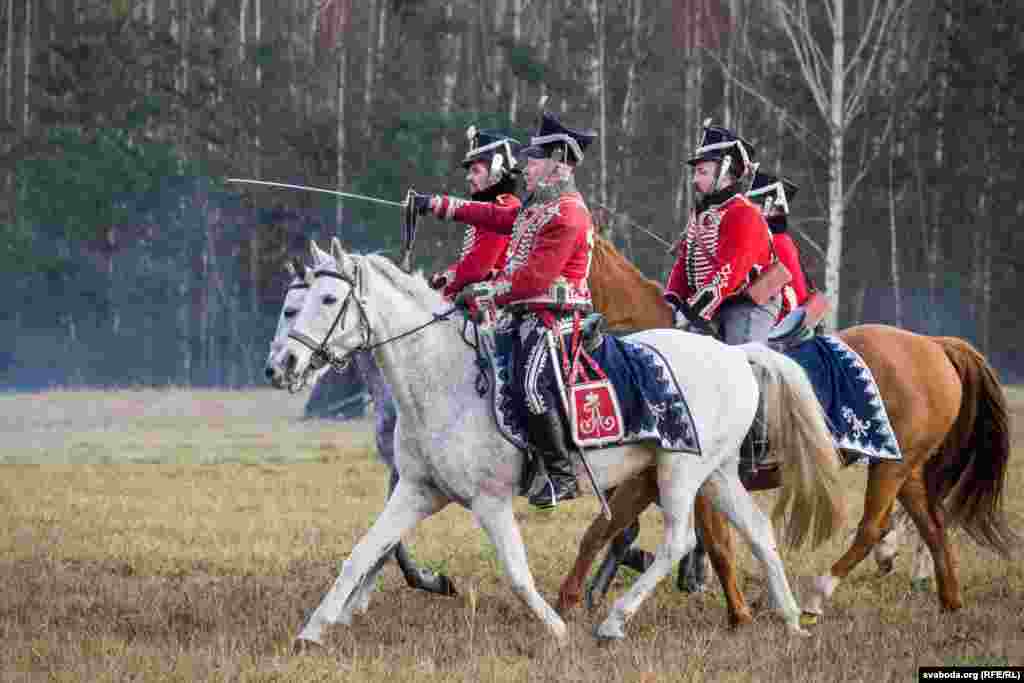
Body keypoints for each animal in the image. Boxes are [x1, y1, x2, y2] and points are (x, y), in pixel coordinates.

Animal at [268, 239, 843, 647]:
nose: (283, 365)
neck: (443, 378)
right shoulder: (417, 491)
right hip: (717, 473)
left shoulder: (490, 501)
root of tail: (734, 353)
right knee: (759, 531)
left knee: (680, 541)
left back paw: (613, 622)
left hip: (680, 472)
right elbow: (363, 553)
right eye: (292, 303)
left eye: (328, 299)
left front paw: (556, 629)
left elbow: (517, 572)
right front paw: (314, 630)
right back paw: (791, 619)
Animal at [561, 237, 1015, 626]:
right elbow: (604, 530)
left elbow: (715, 545)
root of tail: (935, 345)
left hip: (891, 467)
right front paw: (574, 599)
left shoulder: (695, 481)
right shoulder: (653, 479)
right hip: (907, 468)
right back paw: (949, 601)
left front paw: (737, 612)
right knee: (932, 526)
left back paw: (818, 595)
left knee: (873, 527)